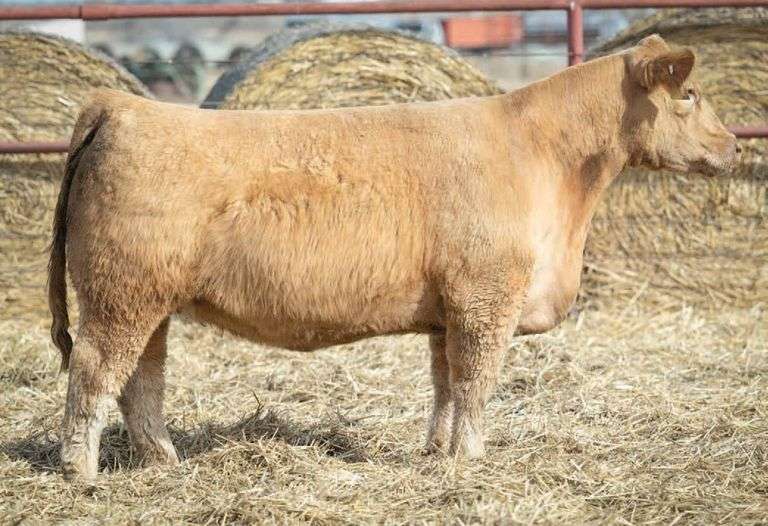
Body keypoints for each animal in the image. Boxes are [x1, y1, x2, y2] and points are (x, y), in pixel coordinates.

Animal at [48, 35, 739, 480]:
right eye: (690, 92)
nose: (734, 145)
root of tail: (123, 107)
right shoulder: (488, 296)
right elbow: (477, 381)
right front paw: (471, 459)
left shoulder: (450, 309)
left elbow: (445, 384)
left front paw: (438, 451)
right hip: (120, 295)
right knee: (95, 373)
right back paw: (82, 473)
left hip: (147, 301)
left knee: (141, 380)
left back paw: (164, 463)